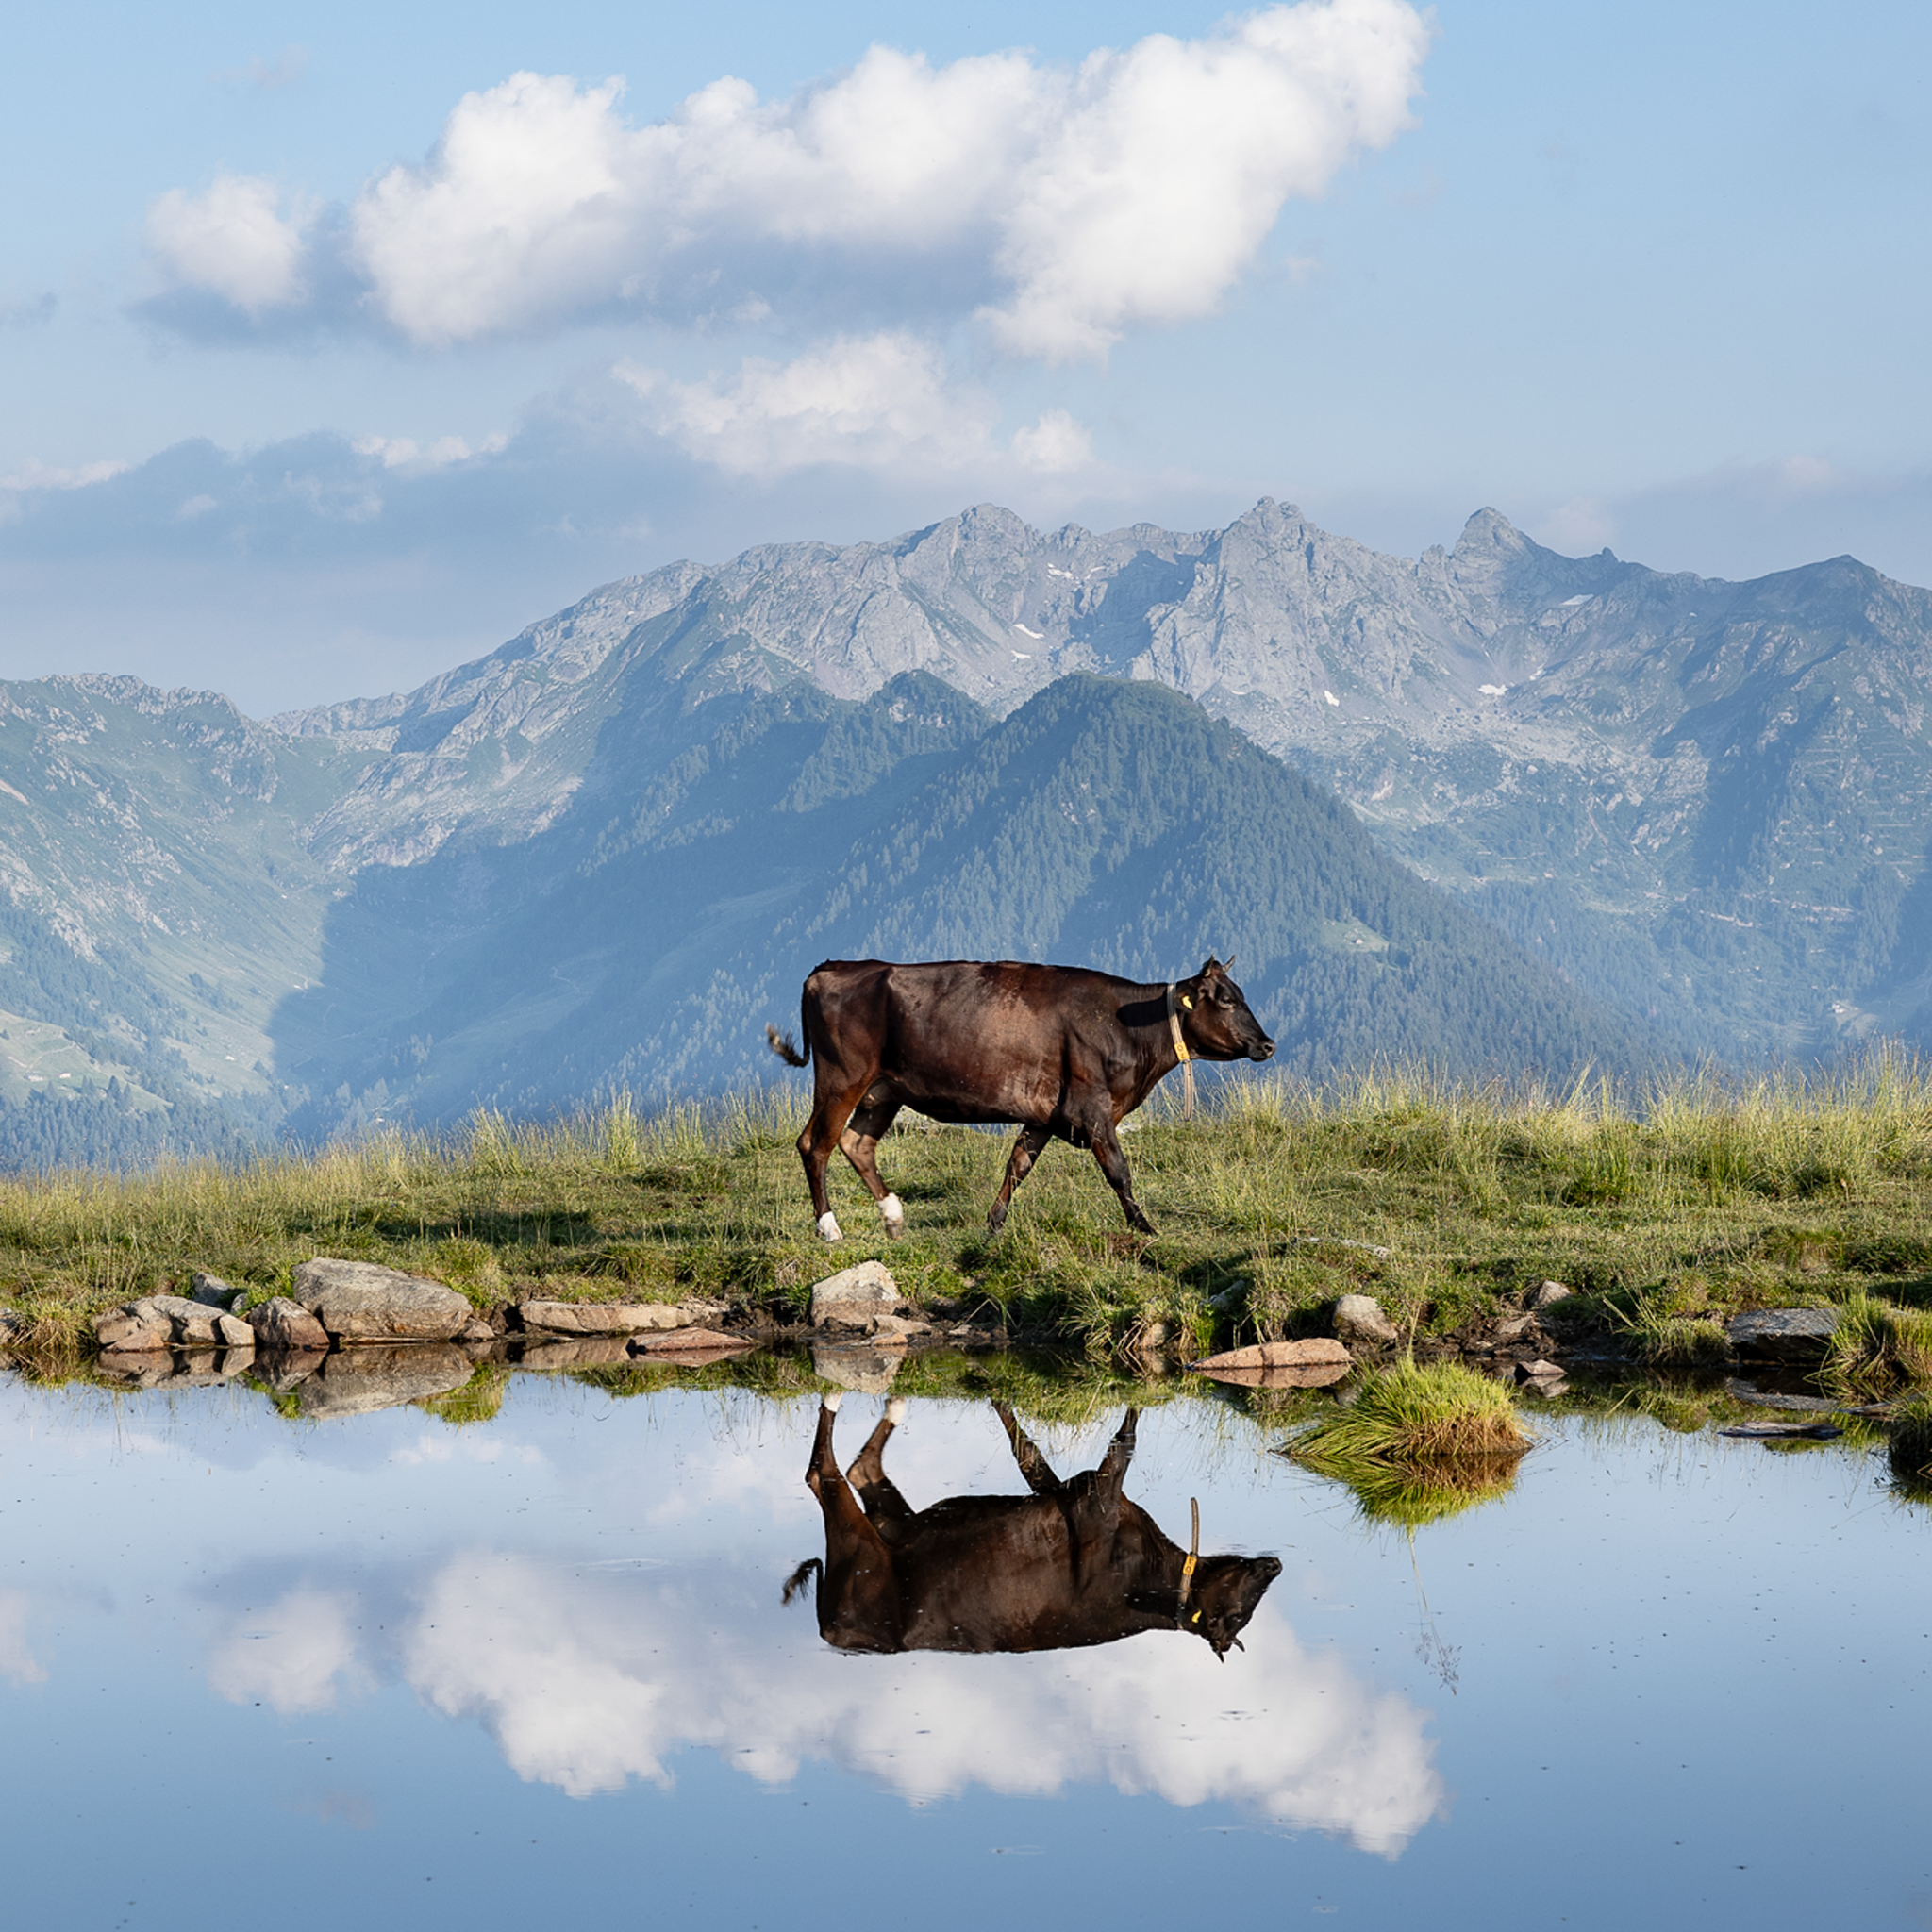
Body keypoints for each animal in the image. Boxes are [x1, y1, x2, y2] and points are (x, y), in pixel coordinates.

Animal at [765, 956, 1274, 1241]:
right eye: (1226, 1000)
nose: (1267, 1044)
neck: (1126, 1027)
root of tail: (832, 967)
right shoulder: (1093, 1107)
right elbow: (1118, 1170)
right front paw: (1145, 1226)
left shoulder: (1047, 1114)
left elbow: (1018, 1165)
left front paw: (993, 1224)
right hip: (842, 1077)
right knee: (816, 1144)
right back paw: (829, 1228)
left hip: (883, 1090)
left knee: (857, 1144)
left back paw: (892, 1216)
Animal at [783, 1394, 1282, 1660]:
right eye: (1236, 1615)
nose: (1275, 1564)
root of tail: (831, 1630)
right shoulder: (1092, 1498)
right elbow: (1116, 1440)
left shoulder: (1079, 1494)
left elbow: (1032, 1453)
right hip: (862, 1548)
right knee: (824, 1472)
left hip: (885, 1533)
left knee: (852, 1469)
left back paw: (888, 1404)